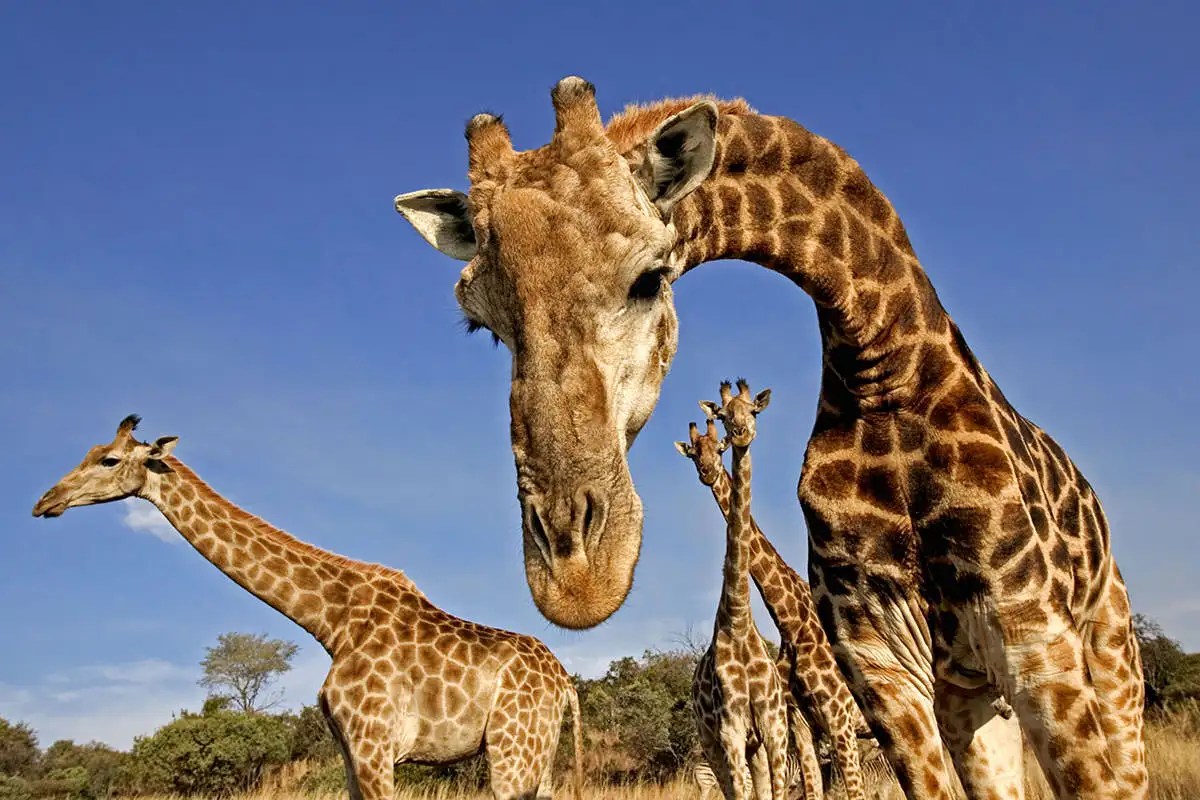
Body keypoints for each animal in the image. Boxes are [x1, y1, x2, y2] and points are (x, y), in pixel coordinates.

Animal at [32, 415, 584, 800]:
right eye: (91, 451)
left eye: (108, 460)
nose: (44, 501)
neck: (332, 623)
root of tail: (565, 685)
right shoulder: (348, 748)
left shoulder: (374, 742)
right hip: (537, 758)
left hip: (512, 753)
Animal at [676, 416, 868, 800]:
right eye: (693, 453)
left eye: (719, 447)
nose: (708, 471)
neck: (792, 623)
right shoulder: (801, 722)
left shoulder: (837, 719)